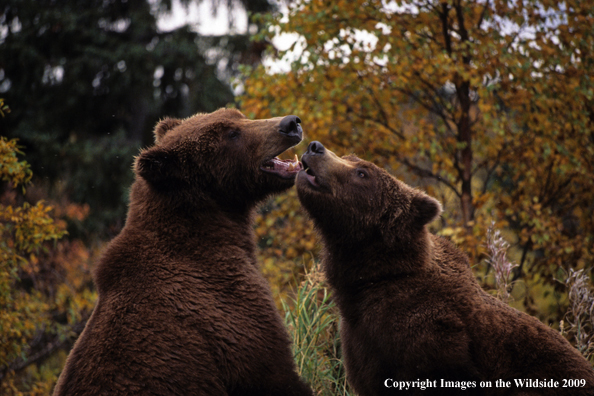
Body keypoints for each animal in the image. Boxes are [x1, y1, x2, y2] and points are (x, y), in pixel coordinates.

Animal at [294, 141, 592, 394]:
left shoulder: (429, 336)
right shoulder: (361, 342)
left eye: (362, 172)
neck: (373, 278)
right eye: (349, 157)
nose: (315, 147)